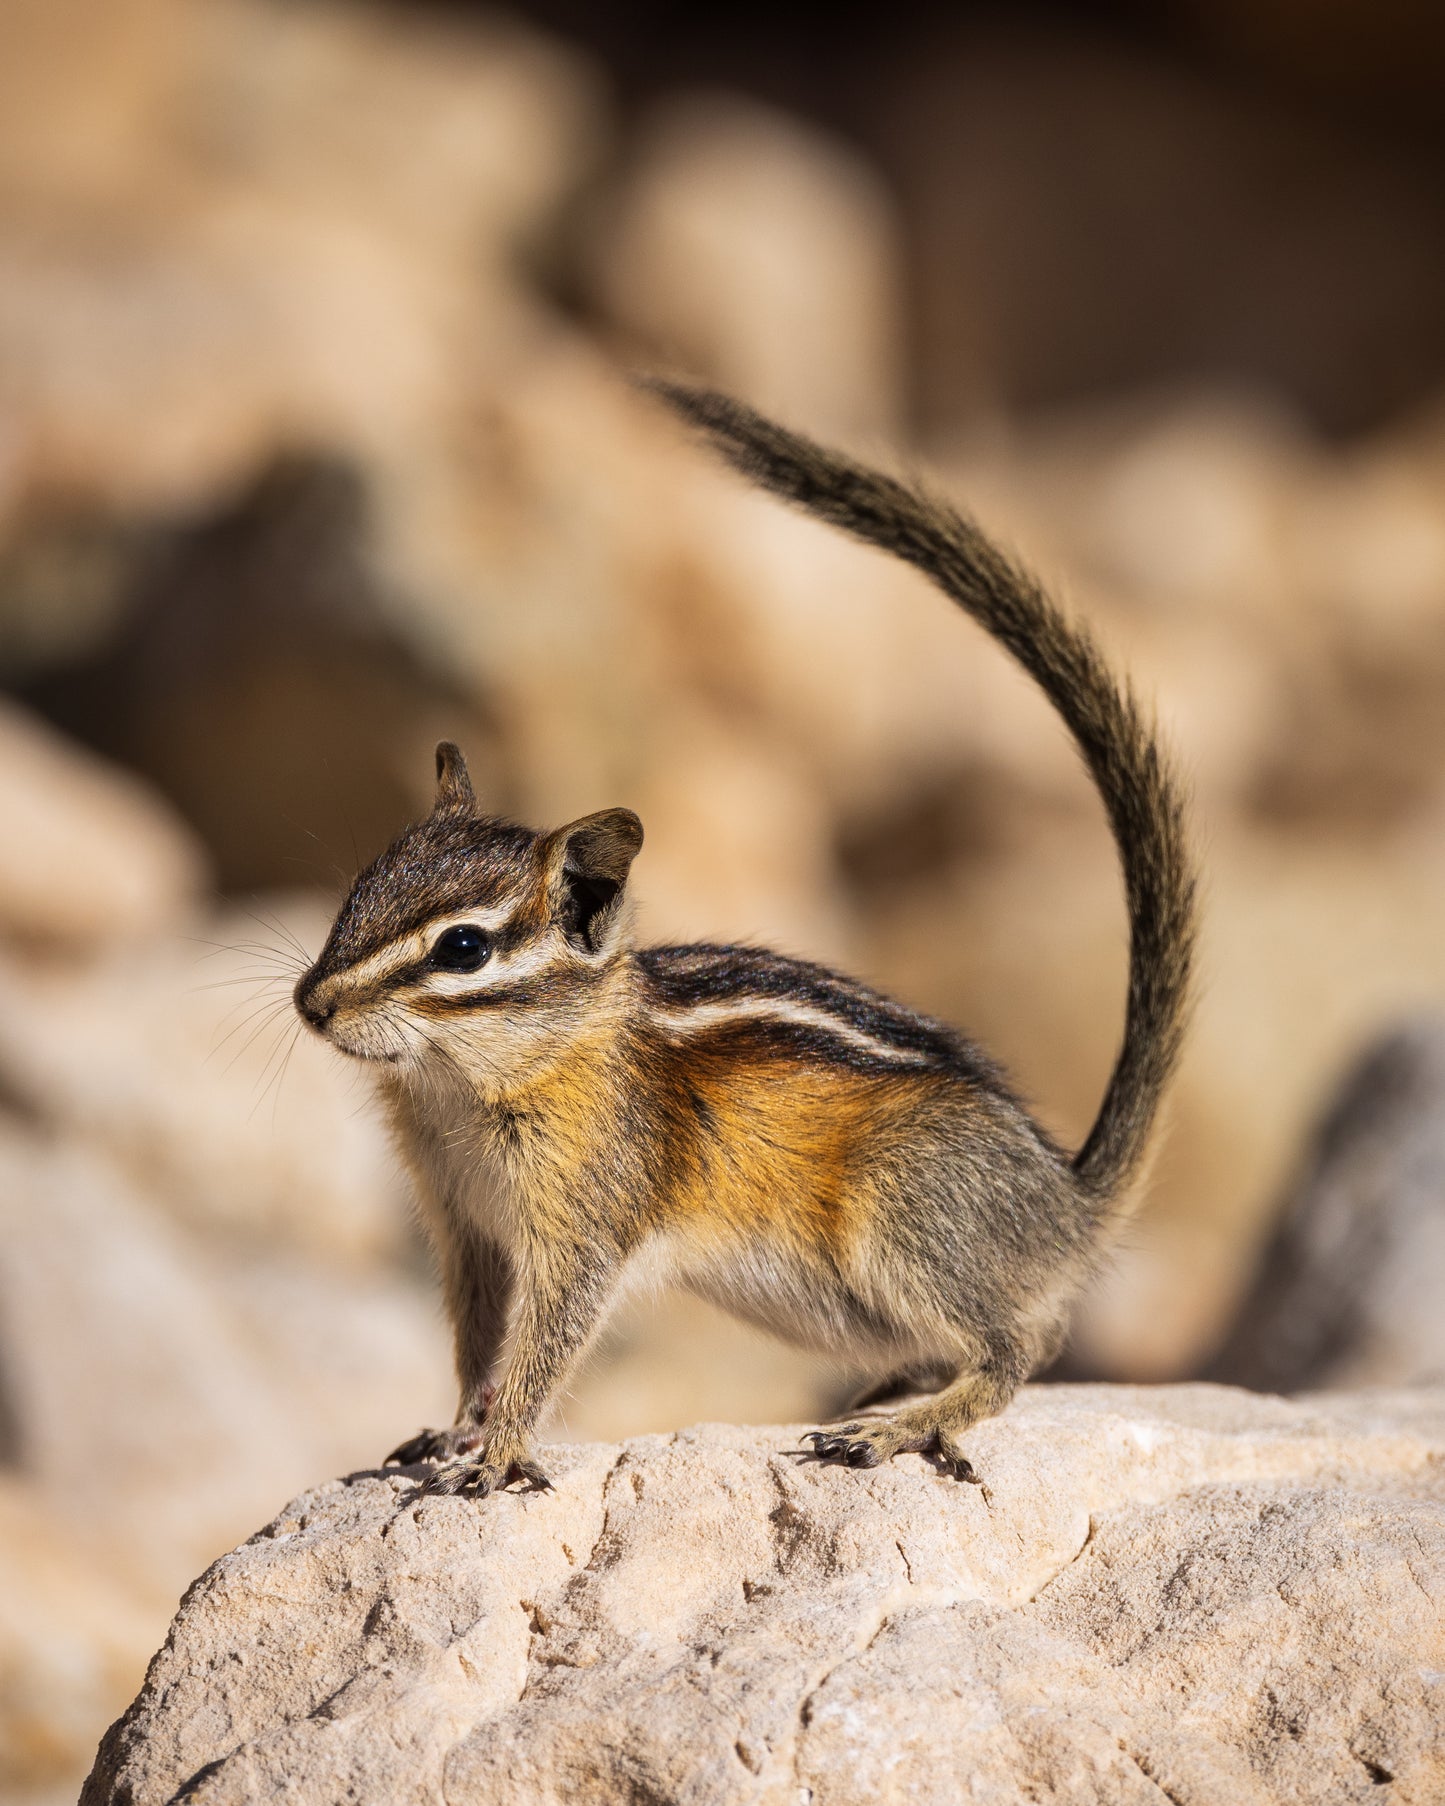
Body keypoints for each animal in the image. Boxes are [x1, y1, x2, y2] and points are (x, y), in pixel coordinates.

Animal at [294, 380, 1196, 1497]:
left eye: (463, 949)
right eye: (362, 888)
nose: (311, 1004)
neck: (467, 1086)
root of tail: (1064, 1205)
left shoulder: (584, 1224)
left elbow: (548, 1342)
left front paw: (498, 1455)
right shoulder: (465, 1231)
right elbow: (477, 1345)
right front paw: (456, 1429)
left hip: (905, 1211)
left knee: (1014, 1349)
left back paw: (897, 1427)